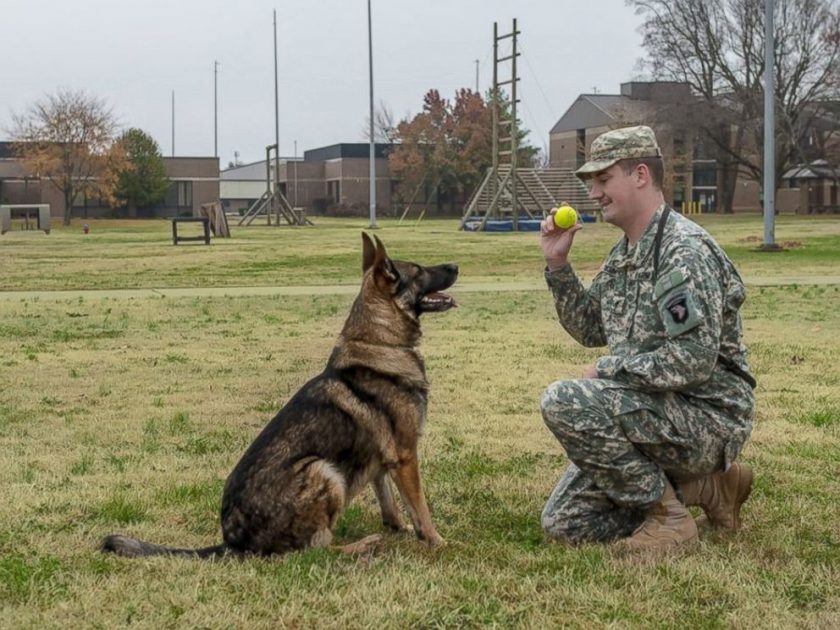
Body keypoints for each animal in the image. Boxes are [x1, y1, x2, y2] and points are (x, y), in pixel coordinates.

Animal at [105, 235, 462, 560]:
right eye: (419, 270)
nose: (456, 265)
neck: (380, 343)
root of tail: (234, 542)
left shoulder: (381, 461)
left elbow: (390, 503)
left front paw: (401, 529)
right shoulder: (405, 456)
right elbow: (420, 506)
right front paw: (438, 541)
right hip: (323, 471)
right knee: (312, 551)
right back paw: (363, 545)